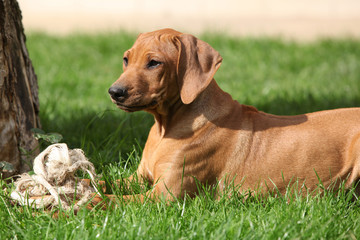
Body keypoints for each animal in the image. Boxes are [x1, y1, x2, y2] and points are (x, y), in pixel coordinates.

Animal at [107, 27, 360, 201]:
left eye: (154, 63)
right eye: (126, 59)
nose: (114, 92)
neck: (165, 127)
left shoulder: (165, 195)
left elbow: (111, 200)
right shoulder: (138, 178)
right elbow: (105, 181)